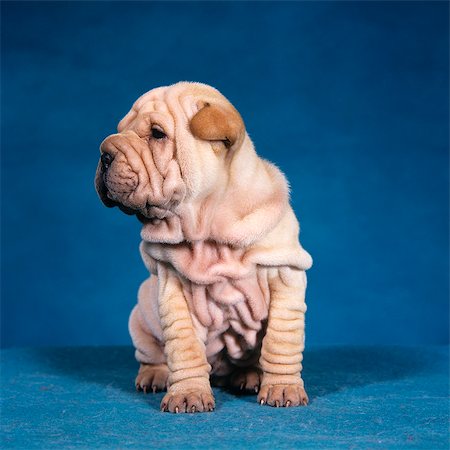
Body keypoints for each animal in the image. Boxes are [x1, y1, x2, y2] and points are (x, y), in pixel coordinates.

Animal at [95, 82, 312, 414]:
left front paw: (283, 387)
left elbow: (281, 341)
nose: (104, 153)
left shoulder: (285, 275)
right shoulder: (172, 289)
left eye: (157, 134)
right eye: (120, 130)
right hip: (141, 313)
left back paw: (250, 376)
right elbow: (184, 347)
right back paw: (154, 375)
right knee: (152, 354)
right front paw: (188, 394)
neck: (209, 229)